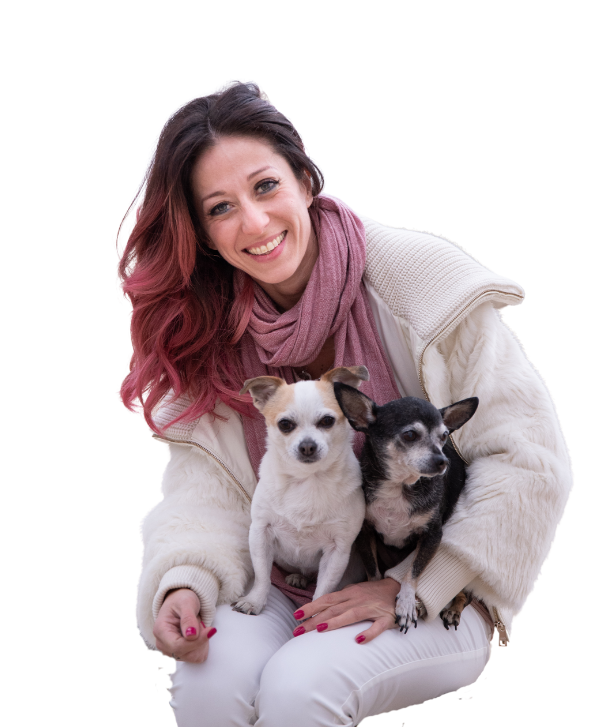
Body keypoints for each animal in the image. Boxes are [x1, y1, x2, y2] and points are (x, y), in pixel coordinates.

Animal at [231, 366, 369, 616]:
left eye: (327, 421)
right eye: (285, 424)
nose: (307, 446)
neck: (308, 479)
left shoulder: (337, 551)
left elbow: (323, 591)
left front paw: (314, 613)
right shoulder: (260, 533)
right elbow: (263, 575)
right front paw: (254, 600)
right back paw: (297, 577)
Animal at [333, 384, 479, 633]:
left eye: (444, 436)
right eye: (410, 435)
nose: (443, 461)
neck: (400, 486)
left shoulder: (432, 536)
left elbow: (413, 571)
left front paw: (407, 603)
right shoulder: (365, 532)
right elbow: (373, 570)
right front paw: (373, 588)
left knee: (465, 595)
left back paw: (452, 610)